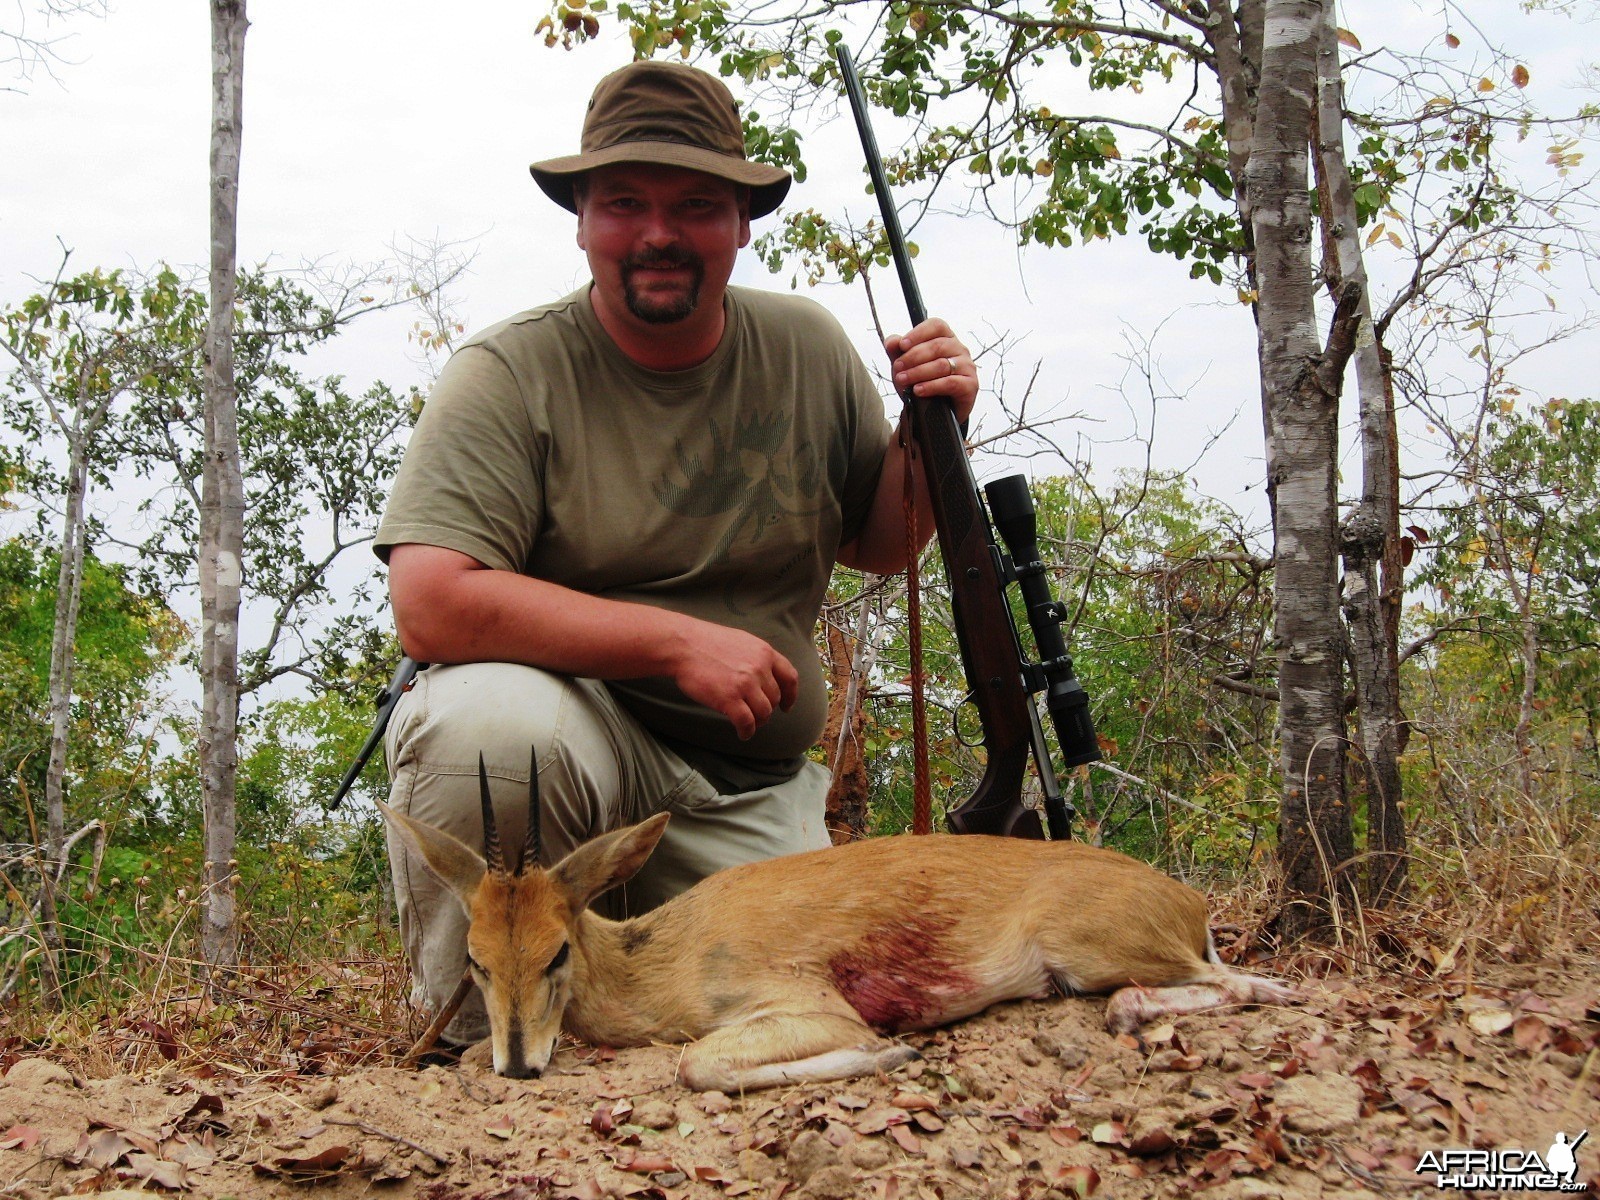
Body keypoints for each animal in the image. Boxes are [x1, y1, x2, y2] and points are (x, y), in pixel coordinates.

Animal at [380, 755, 1292, 1094]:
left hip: (1094, 945)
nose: (518, 1064)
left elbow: (698, 1064)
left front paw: (893, 1050)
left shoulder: (804, 1002)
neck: (663, 959)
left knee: (1256, 982)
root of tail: (1188, 904)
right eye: (475, 959)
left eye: (557, 951)